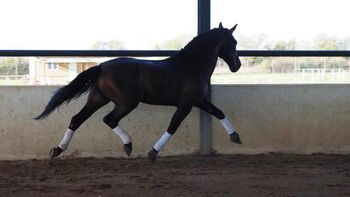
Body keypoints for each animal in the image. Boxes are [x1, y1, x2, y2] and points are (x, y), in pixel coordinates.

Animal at [36, 23, 243, 162]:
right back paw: (128, 145)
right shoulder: (186, 104)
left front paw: (235, 137)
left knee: (76, 119)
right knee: (109, 119)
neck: (191, 66)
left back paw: (57, 149)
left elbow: (219, 112)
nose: (237, 65)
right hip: (127, 103)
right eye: (233, 42)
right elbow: (173, 126)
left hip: (97, 99)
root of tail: (102, 67)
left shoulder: (198, 100)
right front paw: (153, 153)